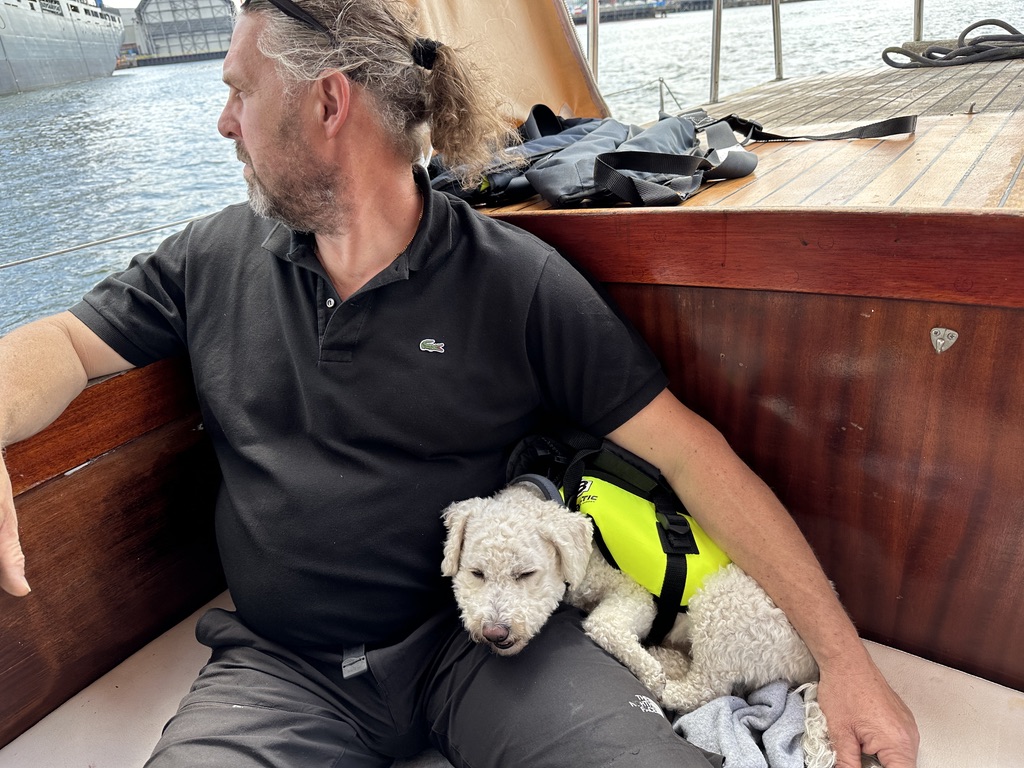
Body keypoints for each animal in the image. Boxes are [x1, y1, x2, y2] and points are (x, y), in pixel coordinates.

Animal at [441, 480, 834, 765]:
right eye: (475, 573)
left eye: (526, 574)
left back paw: (662, 673)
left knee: (707, 687)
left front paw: (645, 667)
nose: (495, 633)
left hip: (722, 605)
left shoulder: (635, 596)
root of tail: (811, 665)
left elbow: (601, 623)